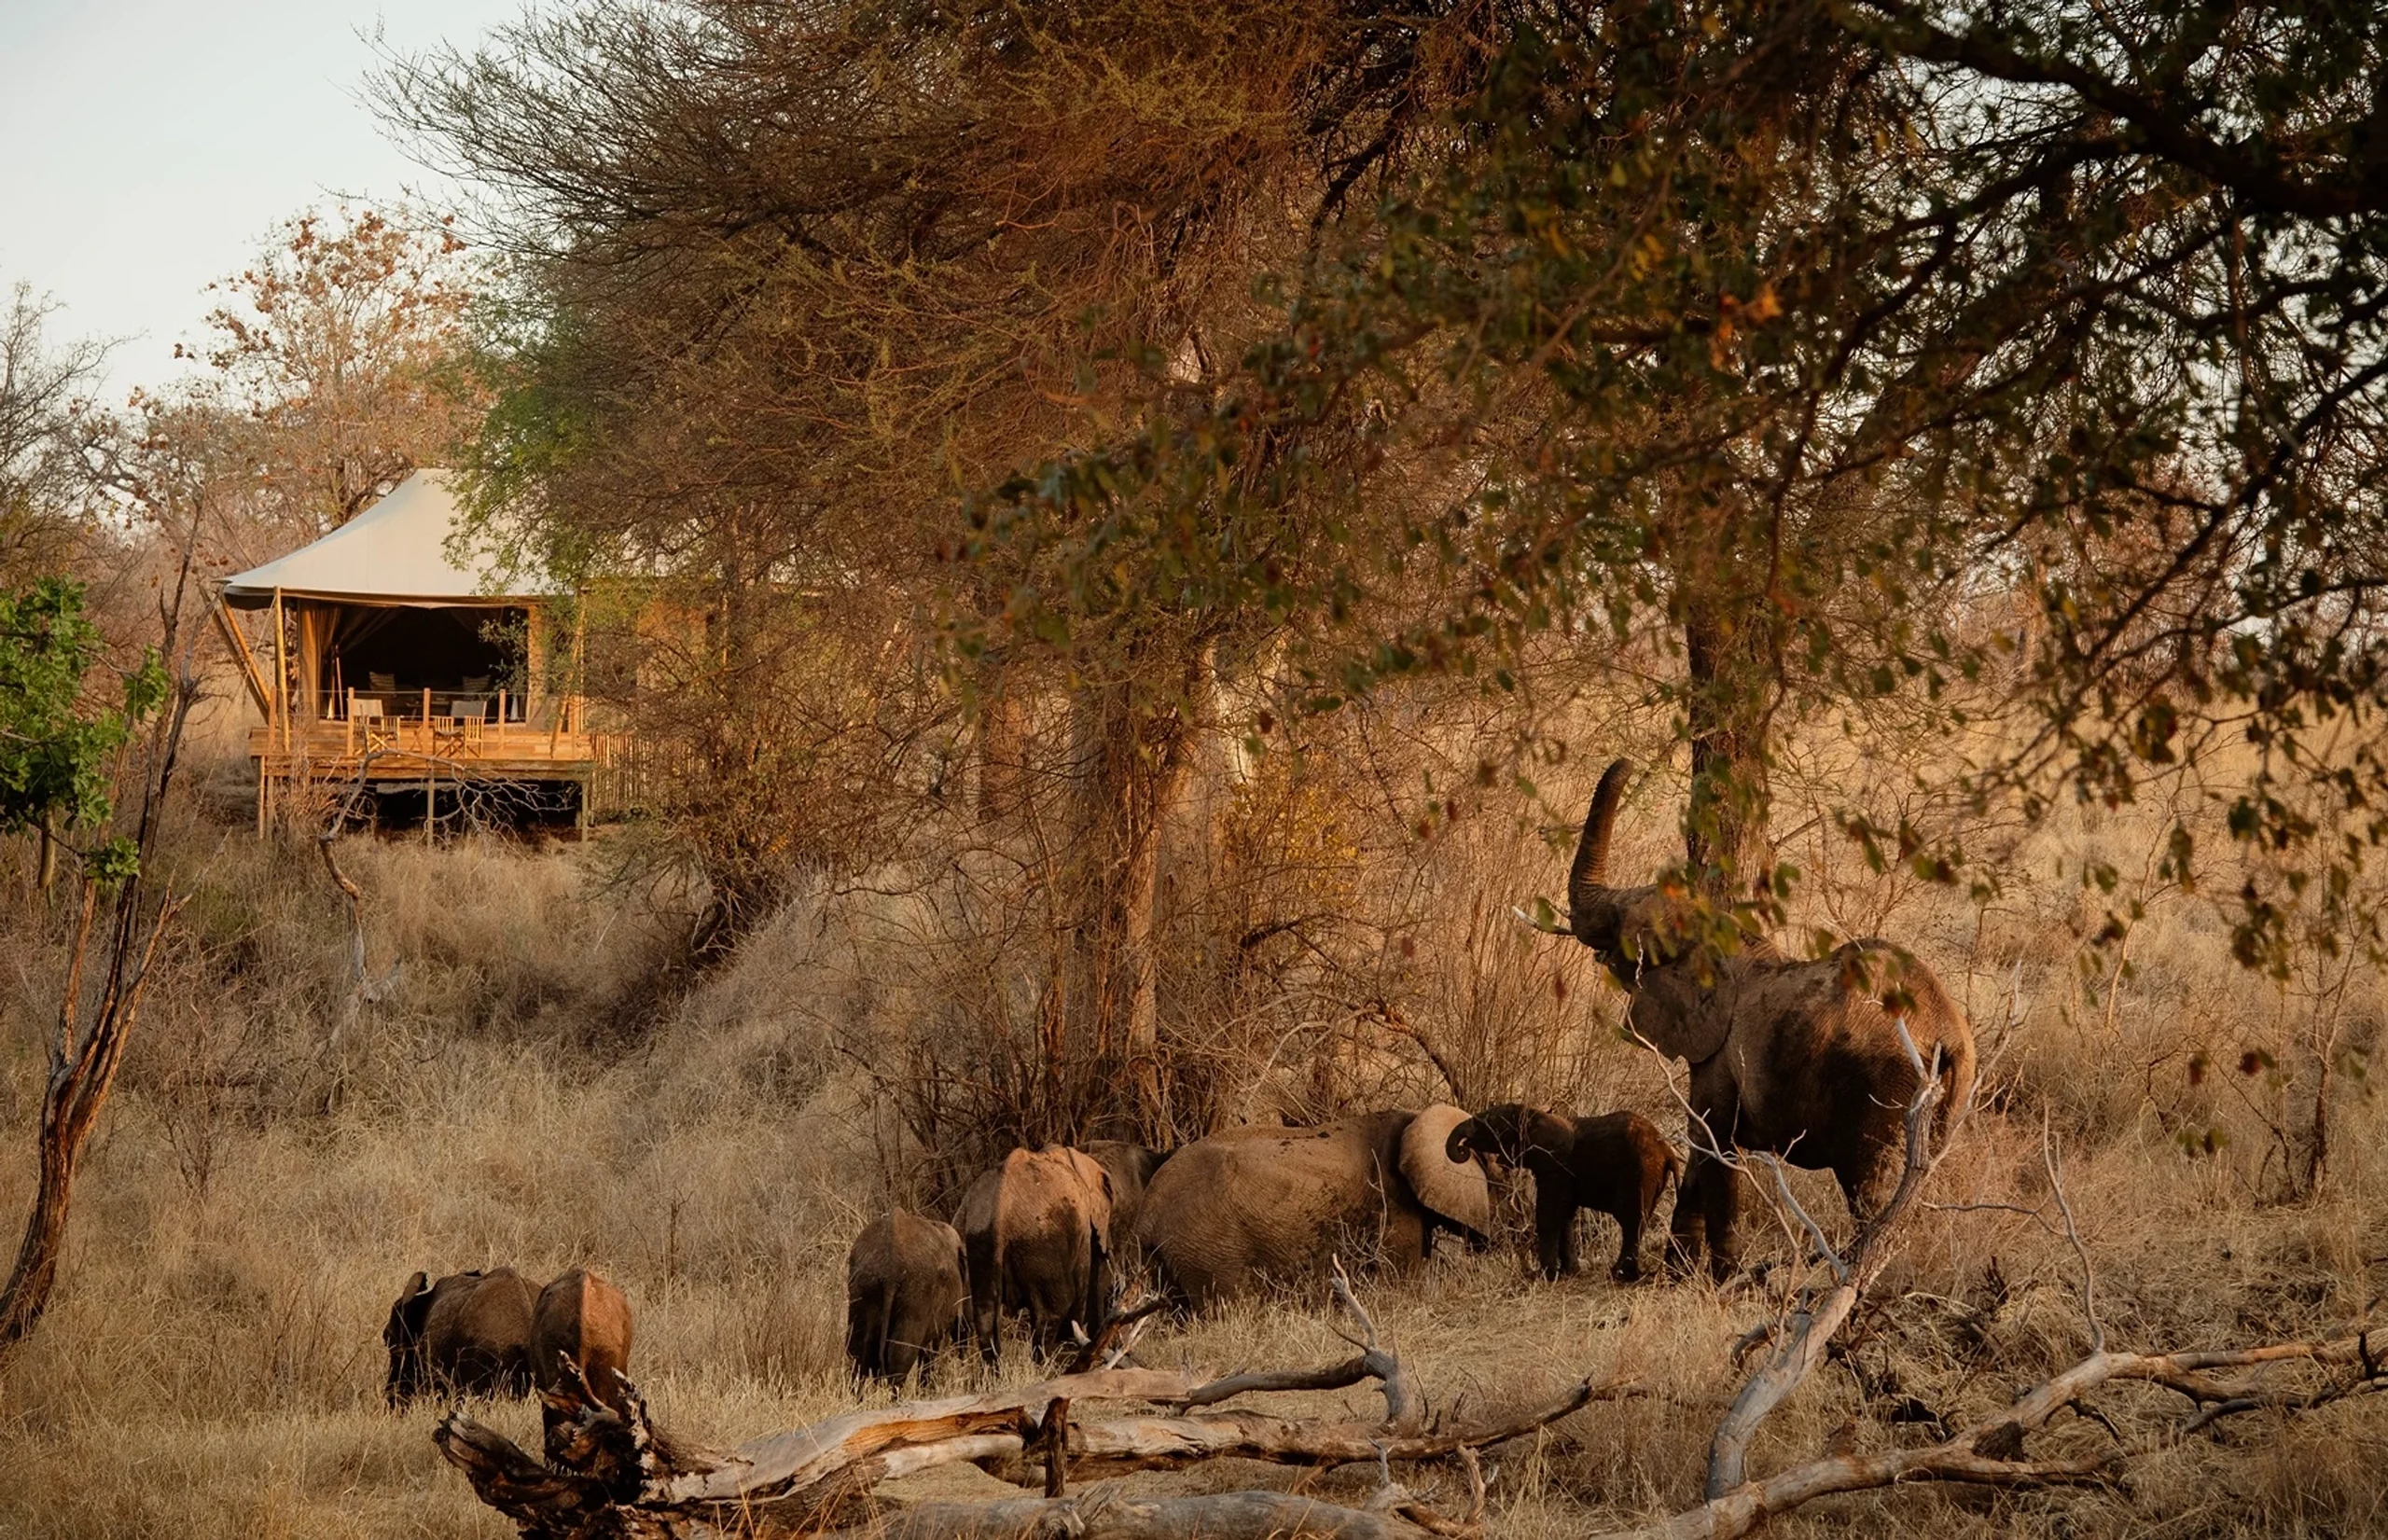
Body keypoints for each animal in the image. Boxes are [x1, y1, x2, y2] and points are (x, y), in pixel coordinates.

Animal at [846, 1210, 969, 1381]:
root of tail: (891, 1272)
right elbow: (932, 1350)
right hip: (916, 1296)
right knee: (901, 1356)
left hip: (863, 1286)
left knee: (857, 1352)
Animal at [956, 1146, 1113, 1362]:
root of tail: (1001, 1204)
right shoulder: (1080, 1229)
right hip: (1041, 1240)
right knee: (1054, 1308)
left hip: (978, 1239)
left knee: (983, 1314)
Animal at [1446, 1104, 1681, 1281]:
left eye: (1492, 1122)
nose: (1464, 1149)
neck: (1536, 1113)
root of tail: (1668, 1152)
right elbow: (1565, 1216)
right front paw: (1570, 1273)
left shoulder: (1556, 1168)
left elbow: (1549, 1215)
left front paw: (1545, 1276)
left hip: (1639, 1173)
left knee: (1631, 1222)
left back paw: (1619, 1275)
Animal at [1561, 759, 1978, 1279]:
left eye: (1622, 923)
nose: (1627, 764)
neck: (1718, 935)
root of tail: (1947, 1031)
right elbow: (1701, 1150)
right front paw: (1678, 1275)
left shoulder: (1718, 1053)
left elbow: (1715, 1143)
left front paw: (1722, 1278)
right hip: (1952, 1096)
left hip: (1886, 1083)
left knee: (1870, 1188)